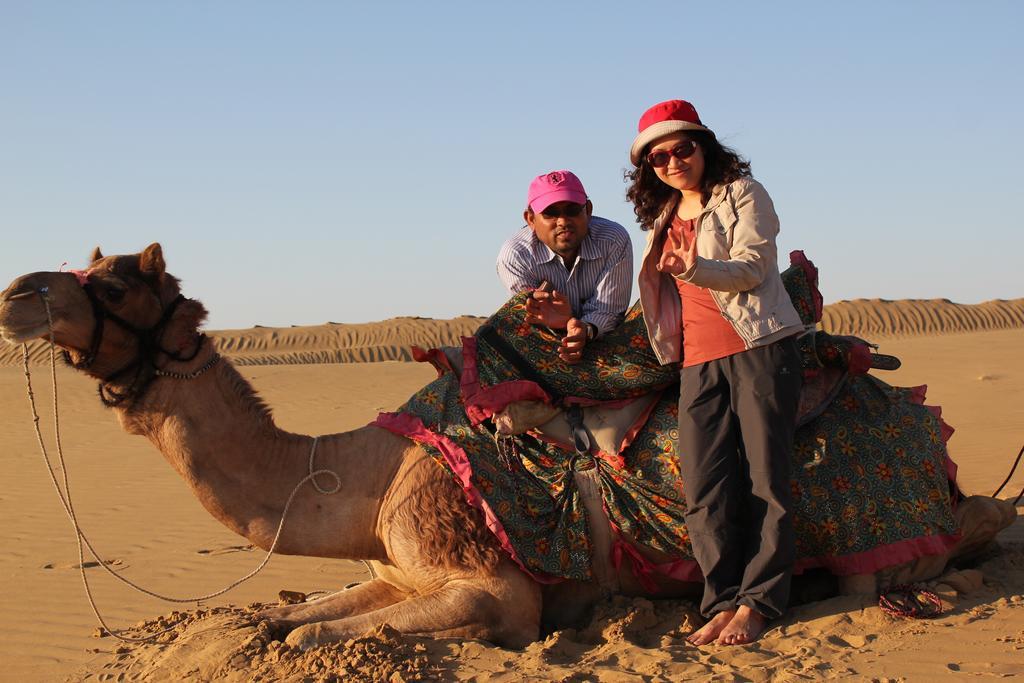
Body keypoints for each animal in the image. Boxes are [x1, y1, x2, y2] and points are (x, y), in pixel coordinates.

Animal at [2, 242, 1015, 651]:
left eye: (117, 285)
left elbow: (328, 633)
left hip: (870, 530)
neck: (368, 475)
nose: (17, 292)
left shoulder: (495, 586)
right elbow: (294, 620)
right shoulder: (396, 567)